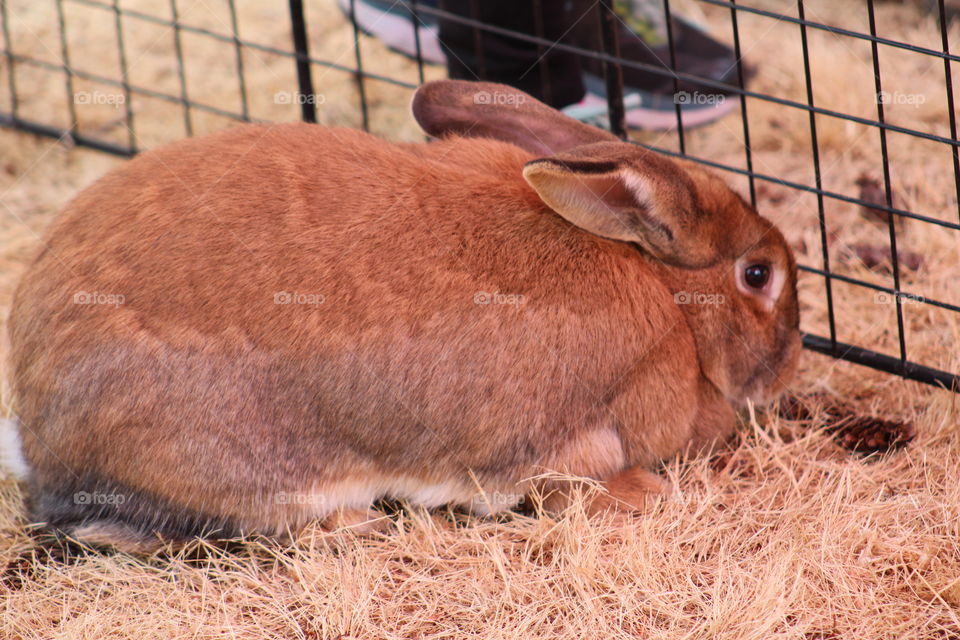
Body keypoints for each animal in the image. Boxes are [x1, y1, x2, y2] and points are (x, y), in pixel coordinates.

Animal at [7, 80, 800, 552]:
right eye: (758, 275)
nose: (787, 371)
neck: (668, 300)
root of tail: (43, 443)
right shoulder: (569, 442)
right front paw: (648, 494)